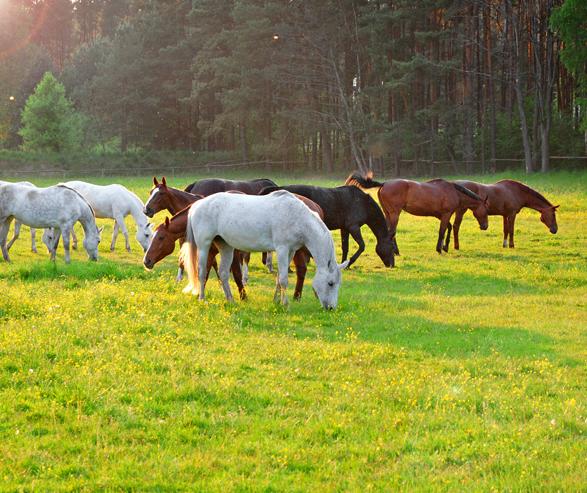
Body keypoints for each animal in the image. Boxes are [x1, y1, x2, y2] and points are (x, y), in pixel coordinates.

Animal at [183, 191, 350, 310]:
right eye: (330, 283)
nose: (331, 308)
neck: (297, 218)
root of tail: (197, 204)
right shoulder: (282, 249)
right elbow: (283, 279)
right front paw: (285, 305)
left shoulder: (290, 251)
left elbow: (279, 277)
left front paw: (276, 301)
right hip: (204, 246)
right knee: (202, 272)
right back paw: (202, 299)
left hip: (226, 247)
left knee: (223, 273)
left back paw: (231, 300)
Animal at [258, 183, 392, 268]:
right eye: (392, 247)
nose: (392, 264)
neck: (363, 204)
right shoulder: (353, 227)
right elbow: (362, 246)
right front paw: (349, 262)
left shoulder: (345, 228)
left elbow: (345, 247)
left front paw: (344, 263)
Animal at [346, 172, 490, 254]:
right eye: (486, 211)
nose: (485, 226)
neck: (453, 191)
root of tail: (384, 183)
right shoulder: (446, 214)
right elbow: (442, 231)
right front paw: (439, 249)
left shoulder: (440, 215)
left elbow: (447, 228)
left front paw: (445, 246)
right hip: (395, 214)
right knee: (392, 232)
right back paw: (396, 251)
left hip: (387, 214)